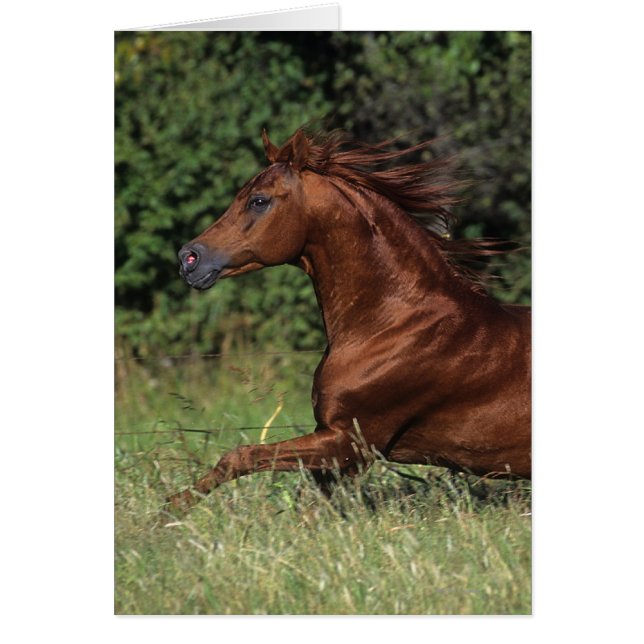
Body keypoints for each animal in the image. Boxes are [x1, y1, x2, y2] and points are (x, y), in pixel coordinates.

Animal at [167, 128, 531, 511]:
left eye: (259, 201)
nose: (189, 258)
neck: (394, 325)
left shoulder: (352, 441)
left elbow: (240, 456)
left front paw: (171, 508)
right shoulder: (334, 441)